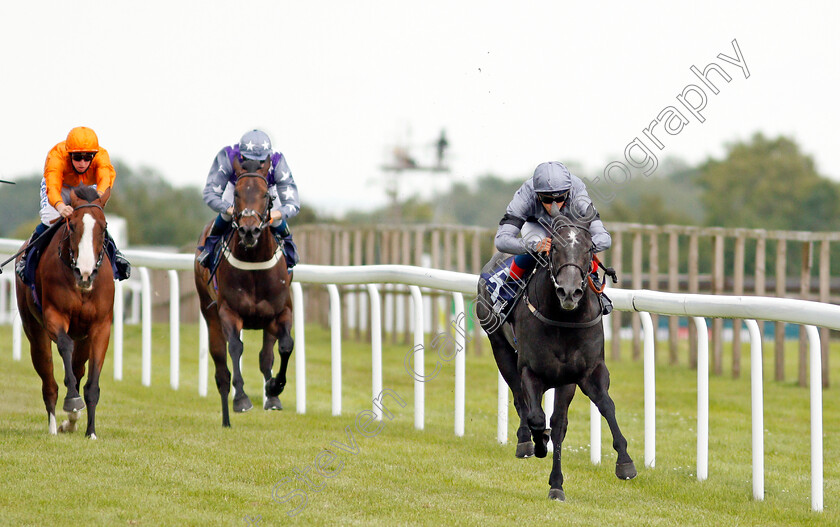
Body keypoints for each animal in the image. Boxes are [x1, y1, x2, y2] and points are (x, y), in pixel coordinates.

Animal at [14, 188, 115, 440]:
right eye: (72, 226)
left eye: (104, 226)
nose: (85, 274)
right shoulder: (54, 316)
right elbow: (64, 345)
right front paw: (72, 403)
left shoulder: (100, 326)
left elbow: (91, 383)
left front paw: (91, 432)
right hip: (35, 333)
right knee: (49, 381)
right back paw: (53, 427)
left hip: (84, 338)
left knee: (78, 369)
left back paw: (71, 422)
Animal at [194, 157, 296, 428]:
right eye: (237, 193)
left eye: (266, 195)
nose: (249, 231)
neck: (254, 263)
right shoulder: (228, 312)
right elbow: (235, 348)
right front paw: (241, 398)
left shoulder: (282, 311)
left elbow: (286, 346)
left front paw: (275, 387)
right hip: (209, 314)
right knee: (221, 369)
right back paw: (226, 419)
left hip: (267, 323)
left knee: (265, 355)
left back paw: (272, 398)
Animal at [476, 220, 632, 504]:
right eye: (555, 248)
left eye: (588, 249)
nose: (569, 292)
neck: (564, 319)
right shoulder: (530, 370)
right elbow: (537, 417)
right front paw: (538, 442)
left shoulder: (582, 373)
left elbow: (599, 408)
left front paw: (624, 462)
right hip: (499, 347)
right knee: (520, 400)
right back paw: (525, 441)